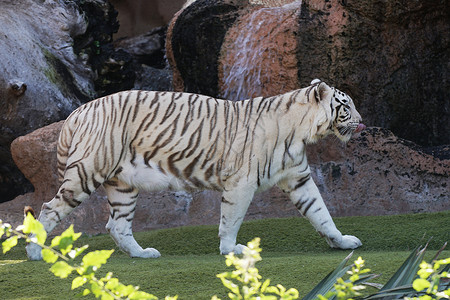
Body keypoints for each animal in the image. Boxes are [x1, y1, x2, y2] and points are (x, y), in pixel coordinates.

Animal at [25, 79, 366, 260]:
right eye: (345, 105)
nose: (362, 122)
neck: (302, 133)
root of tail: (80, 110)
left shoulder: (299, 178)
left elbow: (320, 211)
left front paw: (341, 241)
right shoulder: (241, 183)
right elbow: (231, 219)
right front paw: (231, 249)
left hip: (123, 185)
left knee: (117, 225)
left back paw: (142, 254)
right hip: (87, 172)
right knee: (48, 208)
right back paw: (33, 252)